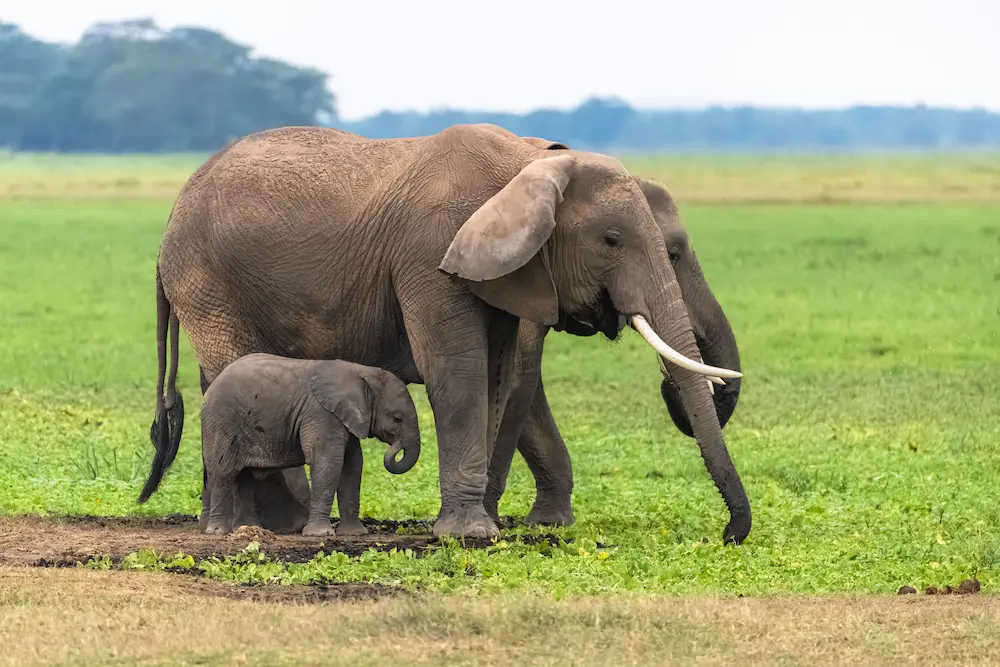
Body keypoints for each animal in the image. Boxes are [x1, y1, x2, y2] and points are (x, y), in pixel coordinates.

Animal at [201, 354, 420, 536]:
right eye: (397, 419)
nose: (395, 446)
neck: (363, 372)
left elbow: (353, 464)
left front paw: (354, 534)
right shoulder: (320, 413)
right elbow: (328, 461)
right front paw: (319, 535)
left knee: (243, 477)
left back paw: (249, 528)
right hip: (222, 422)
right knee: (223, 472)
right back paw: (218, 532)